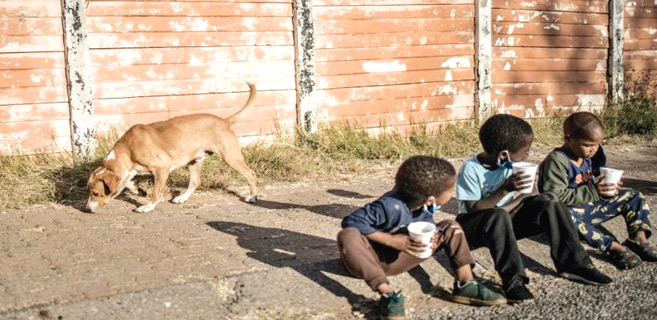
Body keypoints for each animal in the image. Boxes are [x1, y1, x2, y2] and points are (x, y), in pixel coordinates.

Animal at [86, 83, 258, 212]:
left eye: (96, 193)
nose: (87, 209)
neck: (128, 149)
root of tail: (225, 121)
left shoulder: (161, 169)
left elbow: (156, 193)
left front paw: (148, 206)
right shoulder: (130, 170)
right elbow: (126, 182)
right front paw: (137, 190)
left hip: (231, 157)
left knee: (251, 174)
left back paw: (253, 197)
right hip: (194, 161)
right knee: (195, 182)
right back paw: (182, 197)